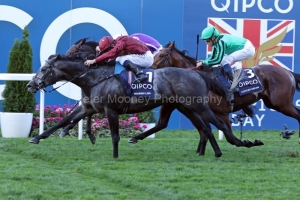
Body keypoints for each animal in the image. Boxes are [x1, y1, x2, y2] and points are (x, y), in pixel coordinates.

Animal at [27, 52, 262, 158]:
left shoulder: (111, 110)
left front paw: (115, 156)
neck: (95, 78)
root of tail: (197, 74)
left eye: (43, 69)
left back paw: (242, 142)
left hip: (197, 106)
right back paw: (217, 152)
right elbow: (63, 121)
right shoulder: (88, 107)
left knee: (218, 124)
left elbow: (114, 135)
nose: (30, 85)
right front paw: (37, 138)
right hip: (186, 107)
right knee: (205, 128)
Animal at [145, 41, 300, 144]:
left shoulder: (221, 112)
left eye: (162, 55)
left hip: (281, 103)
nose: (149, 70)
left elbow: (226, 135)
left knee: (298, 115)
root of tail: (288, 72)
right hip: (274, 103)